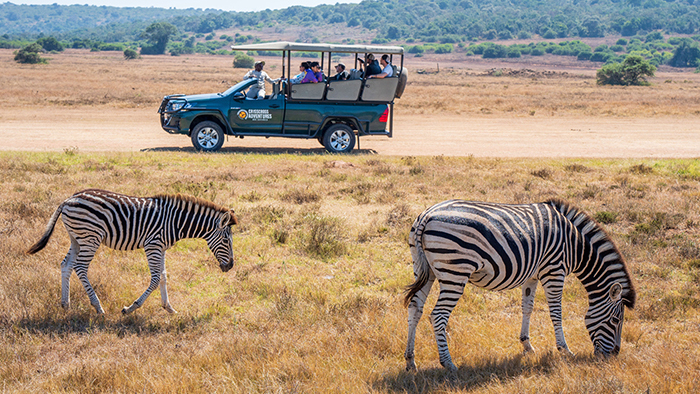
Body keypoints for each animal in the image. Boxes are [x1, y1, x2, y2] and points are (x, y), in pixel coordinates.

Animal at [26, 189, 238, 316]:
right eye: (226, 241)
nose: (230, 266)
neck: (175, 222)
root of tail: (68, 199)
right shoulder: (153, 245)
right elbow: (155, 279)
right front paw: (130, 308)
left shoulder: (161, 248)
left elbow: (163, 276)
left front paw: (169, 308)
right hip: (90, 237)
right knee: (80, 267)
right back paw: (98, 307)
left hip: (76, 238)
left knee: (66, 265)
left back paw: (65, 304)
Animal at [402, 199, 636, 370]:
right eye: (616, 320)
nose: (614, 355)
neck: (575, 245)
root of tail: (427, 215)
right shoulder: (554, 270)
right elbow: (556, 312)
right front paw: (565, 350)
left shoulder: (532, 276)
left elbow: (527, 307)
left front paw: (527, 345)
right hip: (455, 272)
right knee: (437, 316)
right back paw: (448, 363)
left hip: (425, 270)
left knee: (415, 309)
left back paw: (410, 361)